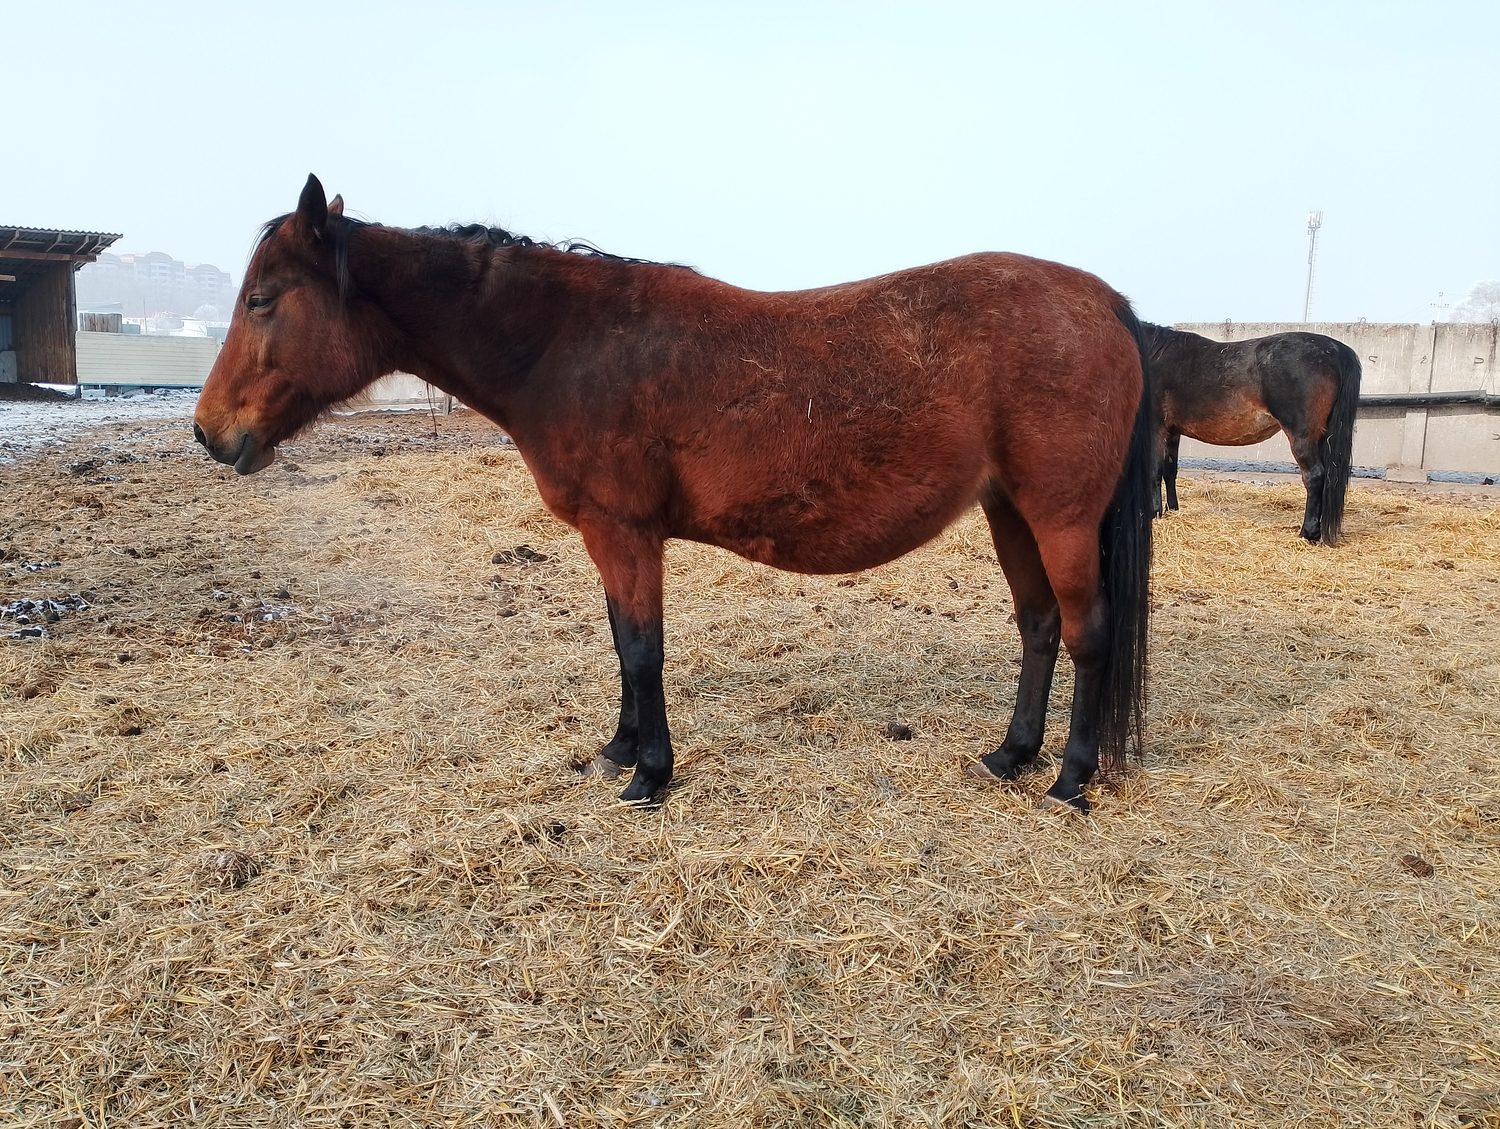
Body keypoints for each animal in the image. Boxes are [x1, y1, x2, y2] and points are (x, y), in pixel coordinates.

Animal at [194, 175, 1155, 812]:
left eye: (264, 299)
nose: (209, 432)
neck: (566, 345)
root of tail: (1106, 302)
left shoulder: (624, 530)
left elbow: (643, 648)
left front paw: (651, 772)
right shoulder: (608, 536)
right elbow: (623, 643)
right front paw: (620, 749)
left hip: (1060, 516)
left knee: (1087, 632)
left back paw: (1071, 777)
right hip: (1009, 511)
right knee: (1039, 626)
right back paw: (1011, 755)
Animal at [1141, 323, 1362, 545]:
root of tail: (1336, 349)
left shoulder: (1155, 428)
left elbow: (1154, 472)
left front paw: (1154, 513)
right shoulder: (1172, 431)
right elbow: (1170, 471)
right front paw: (1172, 510)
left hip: (1302, 436)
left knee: (1314, 476)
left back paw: (1307, 533)